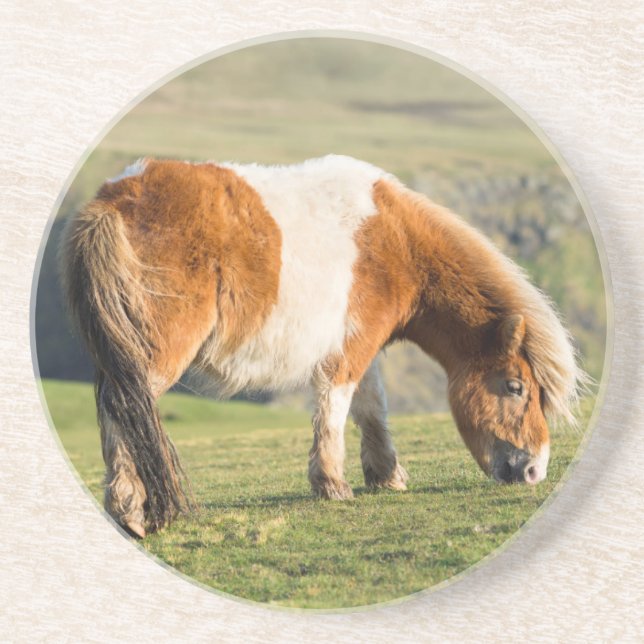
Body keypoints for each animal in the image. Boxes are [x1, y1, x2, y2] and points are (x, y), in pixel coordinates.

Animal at [60, 154, 584, 538]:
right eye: (516, 387)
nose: (534, 470)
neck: (395, 241)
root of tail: (114, 199)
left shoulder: (365, 346)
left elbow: (372, 408)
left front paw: (386, 476)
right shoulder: (351, 348)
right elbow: (335, 406)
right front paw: (333, 484)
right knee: (124, 407)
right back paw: (129, 509)